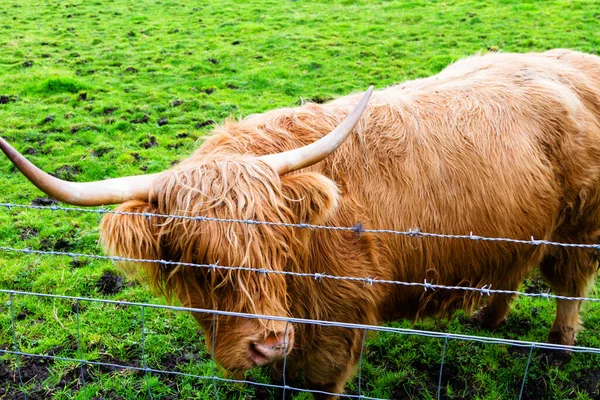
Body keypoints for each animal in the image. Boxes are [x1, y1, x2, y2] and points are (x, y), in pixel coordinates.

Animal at [1, 49, 600, 396]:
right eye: (195, 254)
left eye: (276, 243)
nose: (268, 344)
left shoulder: (336, 332)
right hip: (519, 227)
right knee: (514, 268)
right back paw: (487, 319)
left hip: (579, 226)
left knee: (569, 283)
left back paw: (558, 346)